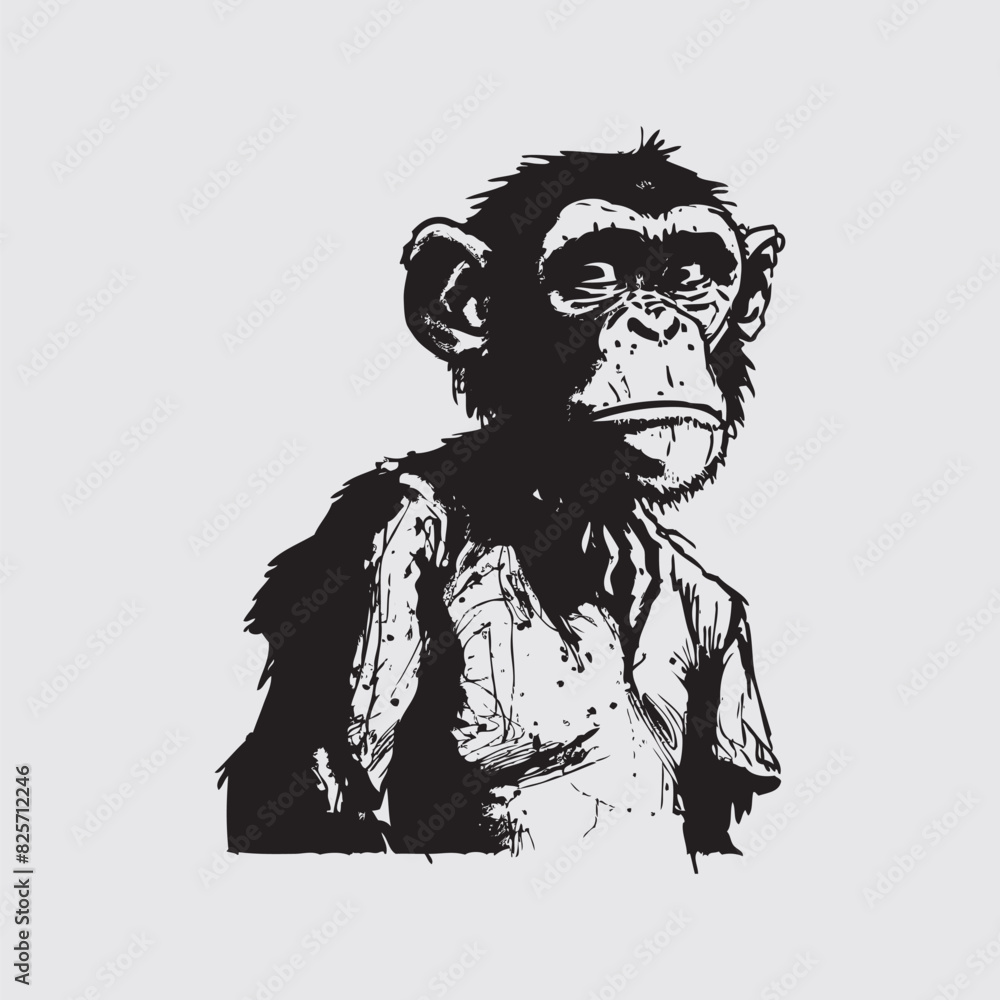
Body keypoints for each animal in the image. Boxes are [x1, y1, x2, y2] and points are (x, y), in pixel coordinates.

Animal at [218, 133, 784, 868]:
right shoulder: (377, 547)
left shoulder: (720, 614)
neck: (567, 513)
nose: (657, 323)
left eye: (691, 276)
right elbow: (326, 800)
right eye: (594, 275)